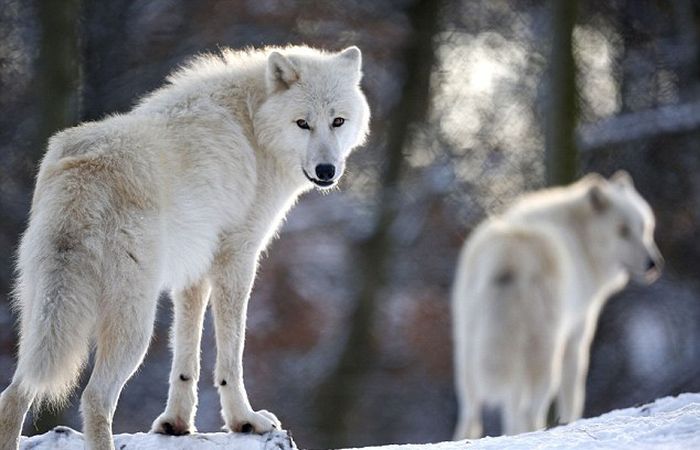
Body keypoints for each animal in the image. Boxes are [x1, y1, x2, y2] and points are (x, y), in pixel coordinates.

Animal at [0, 43, 372, 450]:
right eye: (302, 123)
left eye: (338, 121)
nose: (326, 171)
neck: (253, 126)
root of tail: (83, 173)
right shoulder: (237, 258)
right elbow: (231, 353)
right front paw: (245, 421)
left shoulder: (193, 271)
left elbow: (185, 353)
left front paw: (175, 424)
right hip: (134, 325)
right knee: (95, 398)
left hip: (42, 316)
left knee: (15, 393)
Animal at [454, 173, 660, 440]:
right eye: (623, 231)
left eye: (645, 229)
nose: (653, 264)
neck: (581, 240)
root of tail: (509, 255)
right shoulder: (577, 338)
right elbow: (573, 396)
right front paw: (572, 422)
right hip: (544, 355)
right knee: (529, 409)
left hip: (470, 355)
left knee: (472, 414)